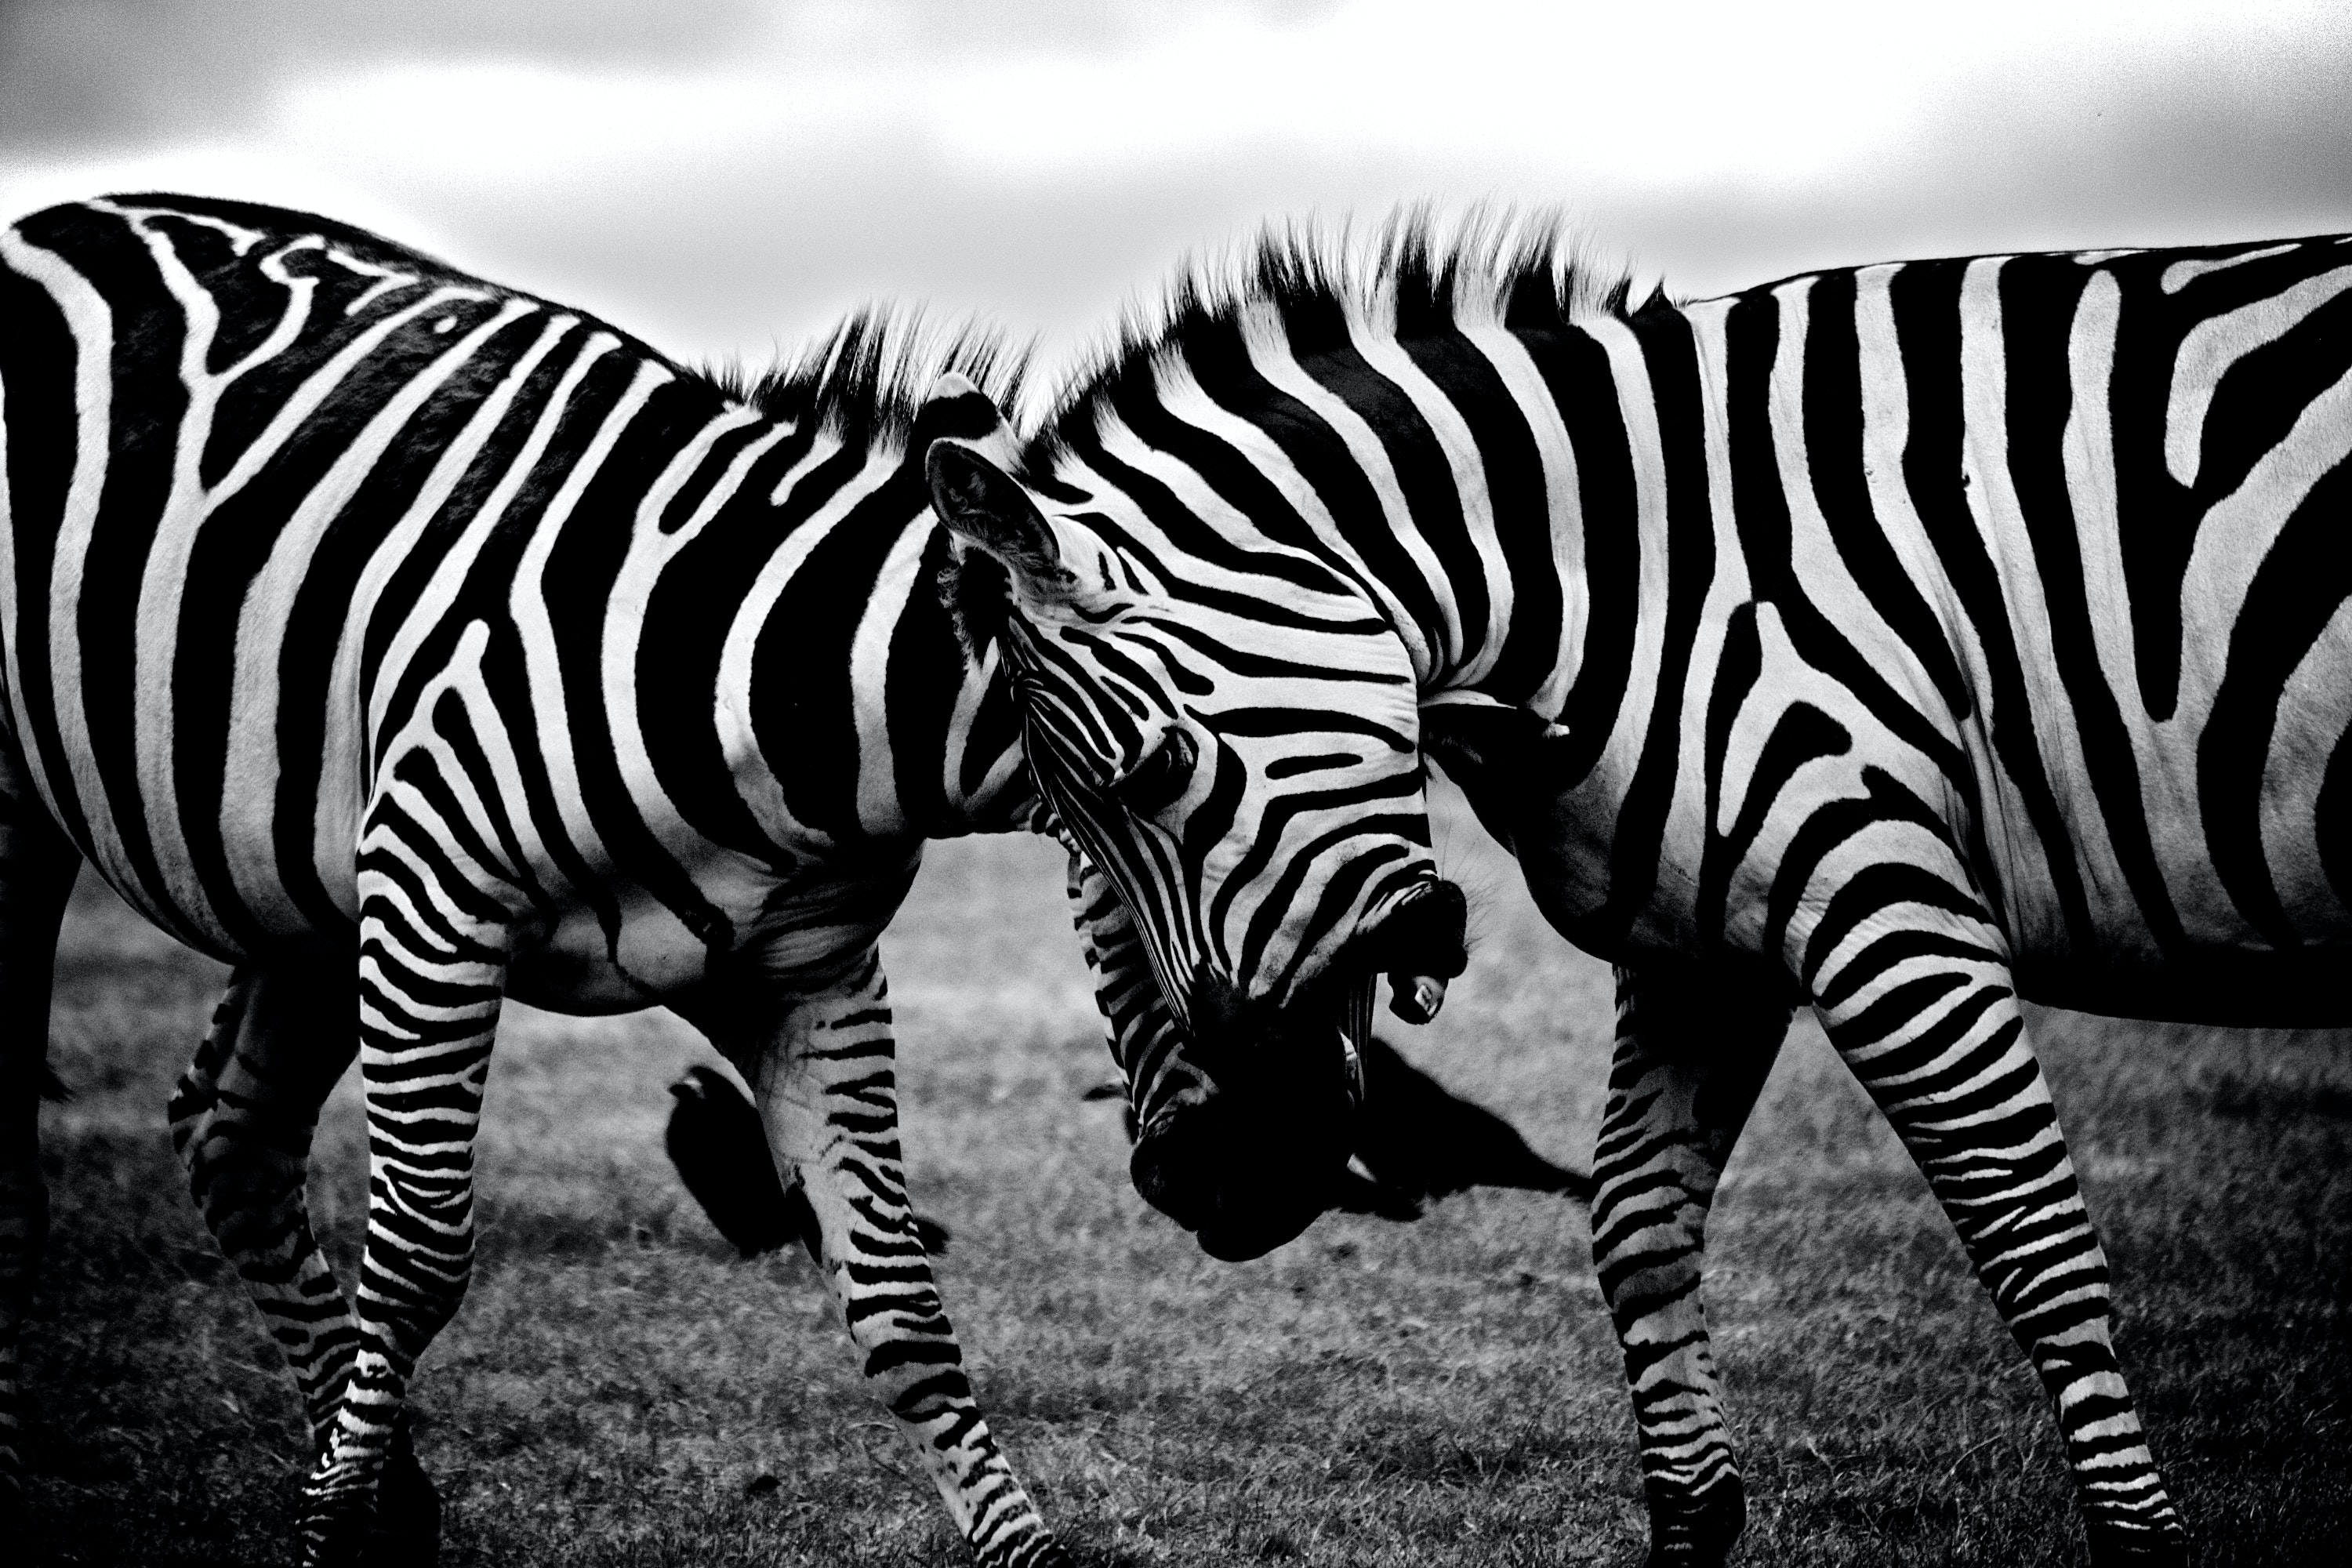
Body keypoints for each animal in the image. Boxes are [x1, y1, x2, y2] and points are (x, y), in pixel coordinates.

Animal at [0, 191, 1172, 1568]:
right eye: (1164, 783)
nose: (1235, 1176)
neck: (777, 682)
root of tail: (53, 219)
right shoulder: (431, 901)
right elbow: (417, 1257)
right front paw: (330, 1533)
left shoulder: (800, 972)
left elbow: (895, 1296)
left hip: (313, 885)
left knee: (229, 1134)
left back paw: (388, 1493)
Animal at [913, 215, 2352, 1565]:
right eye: (1062, 832)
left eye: (1156, 773)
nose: (1214, 1184)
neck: (1643, 574)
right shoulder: (1702, 946)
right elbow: (1636, 1225)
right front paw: (1691, 1516)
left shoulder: (1888, 903)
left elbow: (2035, 1245)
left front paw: (2142, 1544)